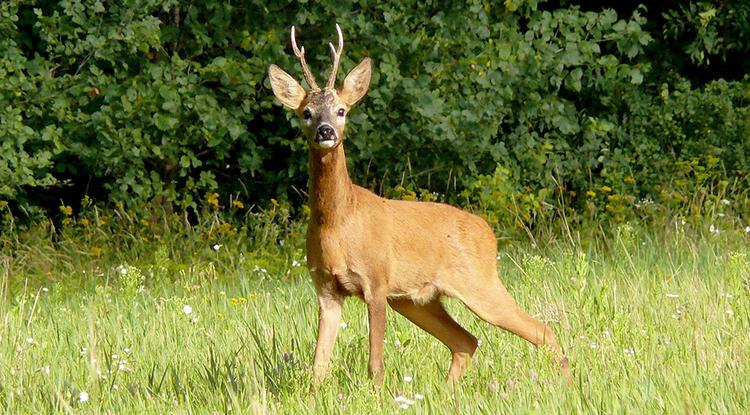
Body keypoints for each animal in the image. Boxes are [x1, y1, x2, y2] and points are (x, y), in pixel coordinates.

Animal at [268, 23, 572, 386]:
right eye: (306, 113)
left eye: (342, 110)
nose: (326, 131)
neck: (338, 223)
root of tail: (488, 232)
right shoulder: (326, 289)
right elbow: (318, 367)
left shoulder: (377, 280)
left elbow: (375, 364)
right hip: (417, 301)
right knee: (466, 341)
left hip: (480, 283)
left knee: (542, 331)